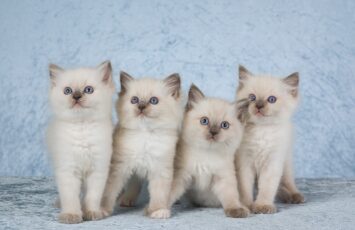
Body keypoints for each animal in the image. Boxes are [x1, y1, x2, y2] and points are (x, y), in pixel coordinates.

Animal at [46, 60, 114, 223]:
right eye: (68, 91)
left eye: (88, 90)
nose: (76, 96)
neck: (82, 126)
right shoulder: (67, 169)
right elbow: (70, 197)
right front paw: (71, 215)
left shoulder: (97, 169)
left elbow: (92, 196)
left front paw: (92, 213)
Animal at [101, 71, 182, 218]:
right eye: (134, 100)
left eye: (153, 101)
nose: (141, 107)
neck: (145, 134)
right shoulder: (119, 167)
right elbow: (109, 191)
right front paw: (102, 209)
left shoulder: (161, 169)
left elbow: (160, 194)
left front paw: (158, 210)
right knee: (134, 183)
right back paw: (126, 200)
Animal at [170, 85, 250, 218]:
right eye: (204, 121)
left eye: (224, 125)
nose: (213, 132)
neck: (207, 153)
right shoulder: (182, 175)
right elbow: (170, 193)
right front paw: (159, 209)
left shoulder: (223, 178)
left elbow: (231, 197)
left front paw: (236, 210)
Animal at [236, 64, 306, 214]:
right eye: (252, 97)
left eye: (271, 99)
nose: (259, 106)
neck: (262, 130)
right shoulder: (244, 162)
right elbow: (245, 188)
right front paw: (246, 206)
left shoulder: (273, 162)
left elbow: (267, 187)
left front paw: (263, 206)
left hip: (286, 162)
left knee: (286, 182)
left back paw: (294, 196)